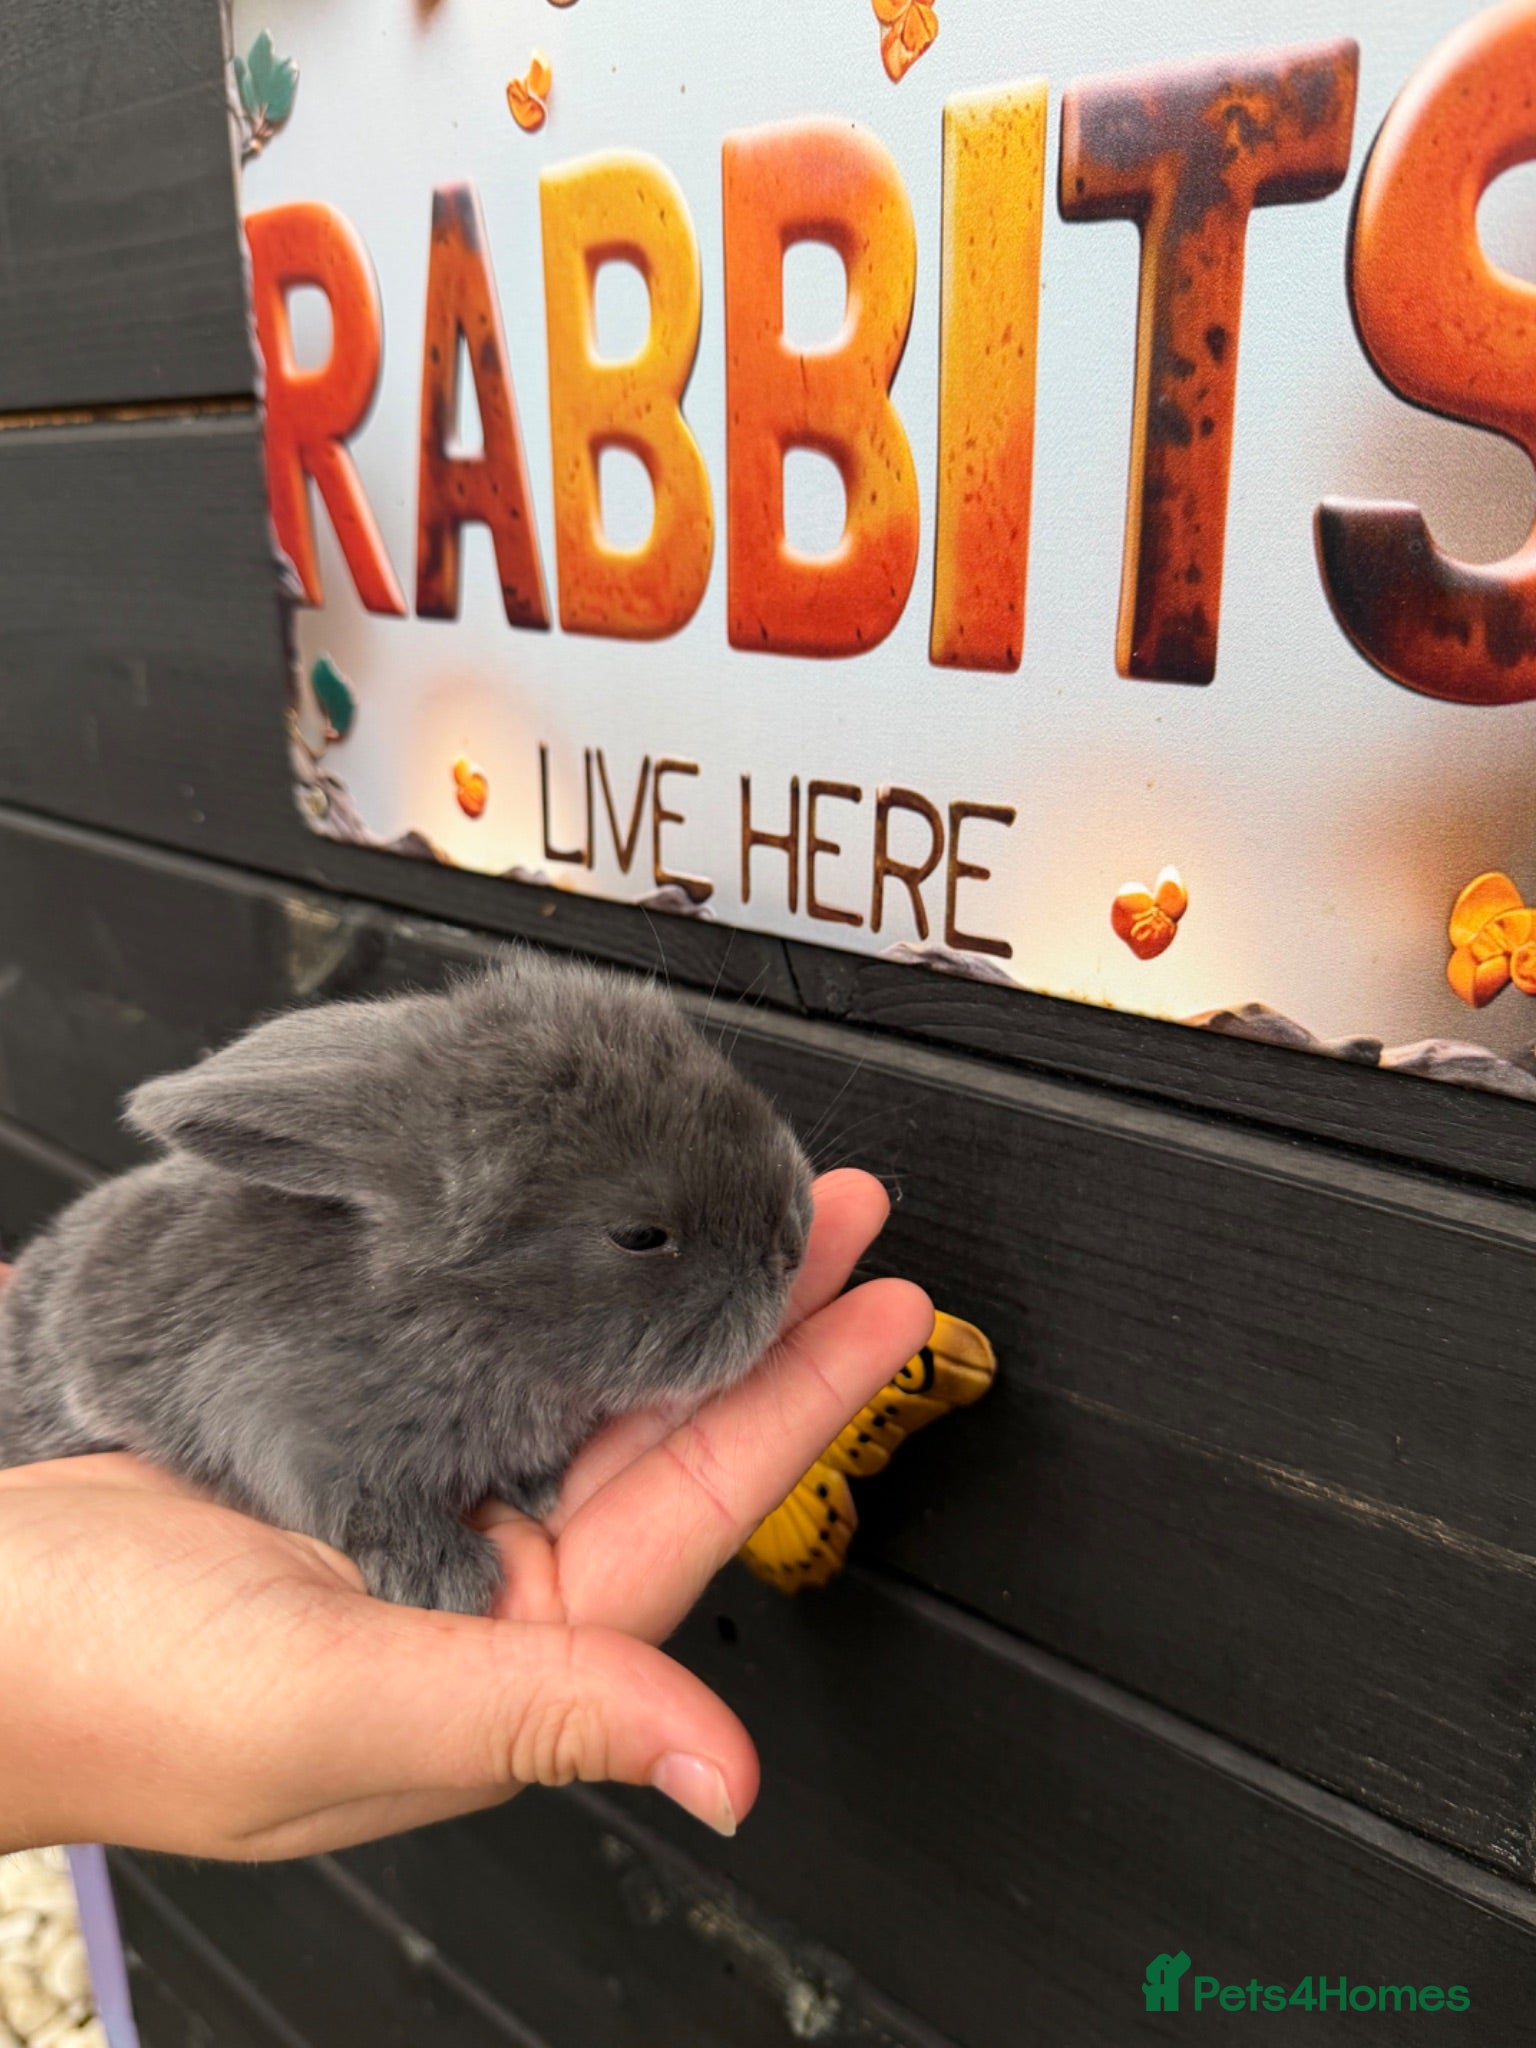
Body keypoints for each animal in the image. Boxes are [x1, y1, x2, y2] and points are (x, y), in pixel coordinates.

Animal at [0, 955, 813, 1614]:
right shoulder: (273, 1419)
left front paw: (534, 1488)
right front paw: (447, 1578)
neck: (452, 1317)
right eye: (640, 1235)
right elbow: (353, 1503)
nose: (794, 1242)